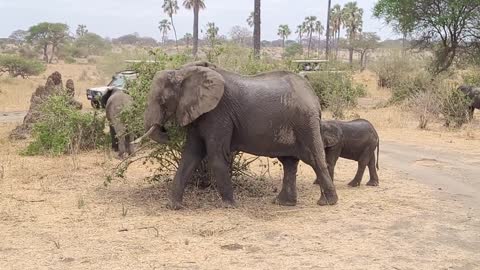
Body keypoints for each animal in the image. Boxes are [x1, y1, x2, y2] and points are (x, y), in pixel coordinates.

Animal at [139, 61, 338, 209]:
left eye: (163, 101)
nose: (165, 130)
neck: (183, 72)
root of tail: (313, 96)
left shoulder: (218, 113)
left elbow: (216, 156)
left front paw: (230, 205)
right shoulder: (199, 113)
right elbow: (190, 155)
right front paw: (173, 206)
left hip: (305, 122)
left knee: (313, 158)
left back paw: (327, 202)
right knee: (289, 162)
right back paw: (283, 203)